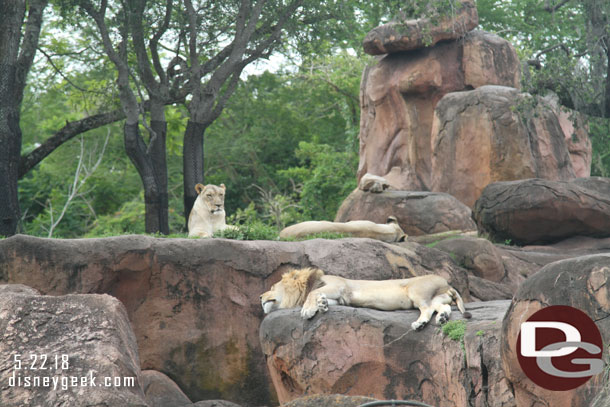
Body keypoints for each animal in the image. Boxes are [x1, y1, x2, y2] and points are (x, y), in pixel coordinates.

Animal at [258, 268, 468, 332]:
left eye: (272, 288)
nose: (260, 296)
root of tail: (446, 282)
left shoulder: (338, 285)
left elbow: (311, 294)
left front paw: (307, 310)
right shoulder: (340, 298)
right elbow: (321, 297)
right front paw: (321, 304)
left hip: (416, 291)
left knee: (426, 309)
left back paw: (420, 323)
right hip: (437, 297)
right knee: (443, 308)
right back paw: (441, 319)